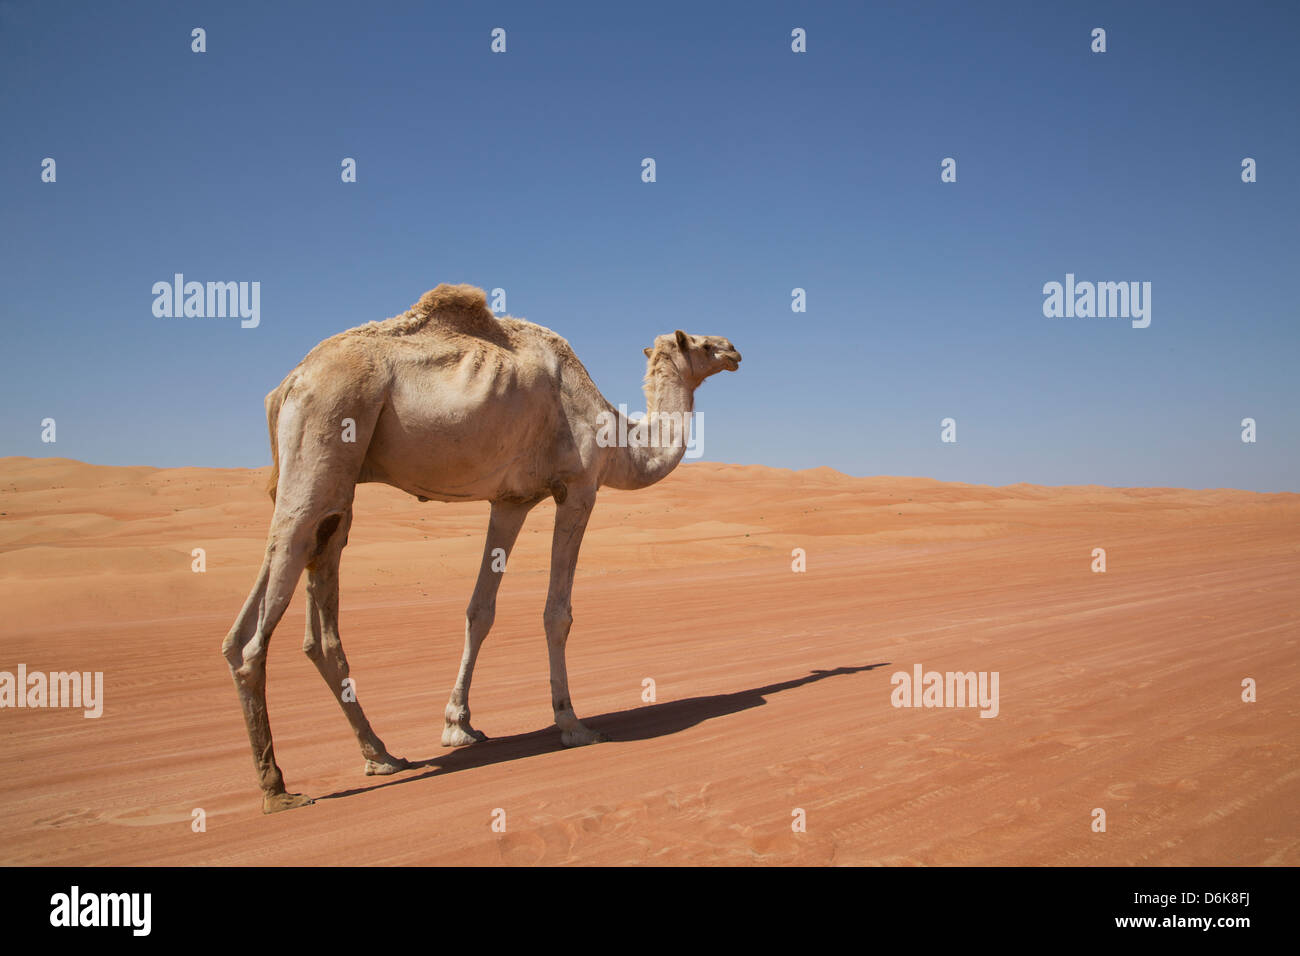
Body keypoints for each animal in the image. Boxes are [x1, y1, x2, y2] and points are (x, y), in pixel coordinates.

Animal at [223, 282, 743, 806]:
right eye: (699, 343)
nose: (734, 349)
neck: (617, 438)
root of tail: (289, 382)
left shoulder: (511, 501)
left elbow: (480, 610)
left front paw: (459, 725)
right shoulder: (579, 488)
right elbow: (557, 614)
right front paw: (572, 723)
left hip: (333, 490)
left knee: (309, 619)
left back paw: (380, 755)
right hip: (324, 439)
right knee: (257, 623)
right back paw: (277, 787)